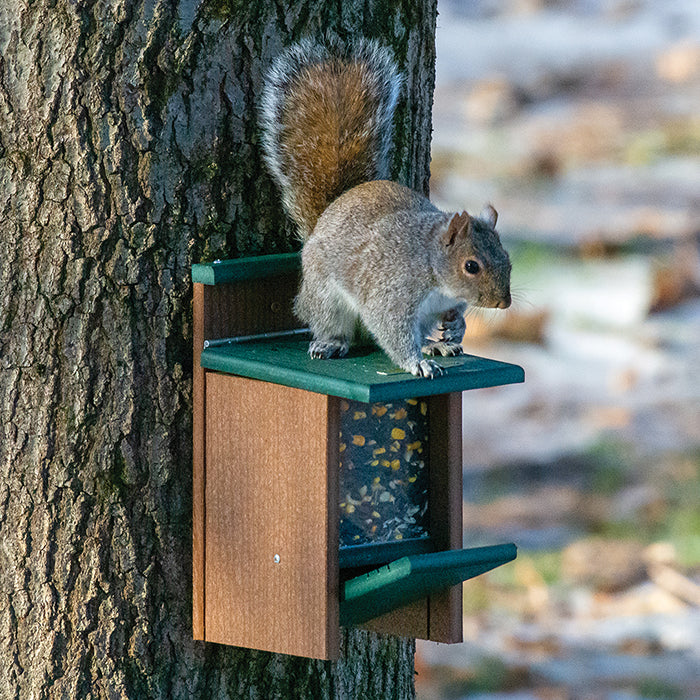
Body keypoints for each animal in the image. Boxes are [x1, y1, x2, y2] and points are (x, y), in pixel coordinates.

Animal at [260, 38, 512, 378]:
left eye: (507, 259)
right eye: (471, 266)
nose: (504, 303)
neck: (432, 268)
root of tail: (327, 213)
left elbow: (451, 315)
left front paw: (455, 327)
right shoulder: (391, 293)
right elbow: (392, 331)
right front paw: (417, 363)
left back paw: (434, 343)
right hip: (325, 296)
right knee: (330, 324)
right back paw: (331, 343)